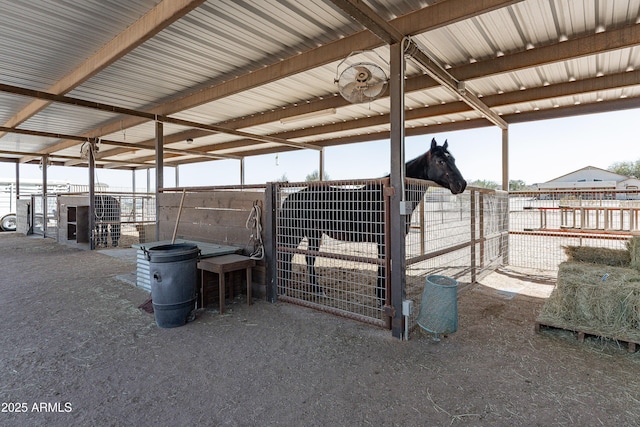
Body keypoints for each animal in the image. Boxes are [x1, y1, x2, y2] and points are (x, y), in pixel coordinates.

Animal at [278, 139, 464, 302]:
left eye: (453, 159)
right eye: (440, 161)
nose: (461, 184)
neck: (392, 199)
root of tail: (291, 197)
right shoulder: (383, 241)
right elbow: (383, 266)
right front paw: (381, 299)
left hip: (314, 234)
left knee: (308, 259)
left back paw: (316, 291)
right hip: (296, 234)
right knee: (287, 255)